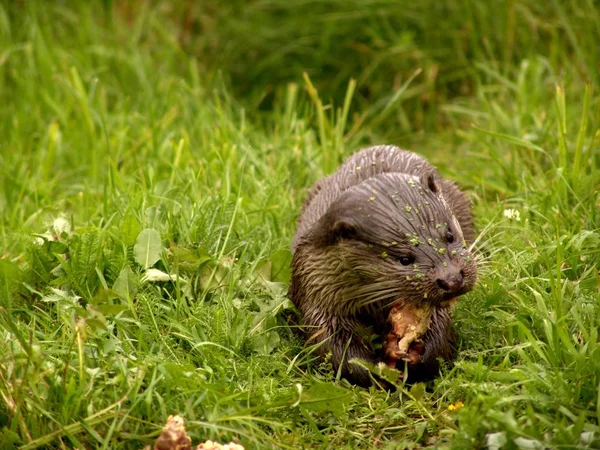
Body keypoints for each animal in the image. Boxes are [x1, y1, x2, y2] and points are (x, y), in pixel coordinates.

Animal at [288, 146, 476, 384]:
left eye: (449, 235)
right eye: (404, 259)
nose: (452, 279)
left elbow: (440, 327)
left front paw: (421, 353)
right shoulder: (314, 287)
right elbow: (329, 342)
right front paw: (375, 369)